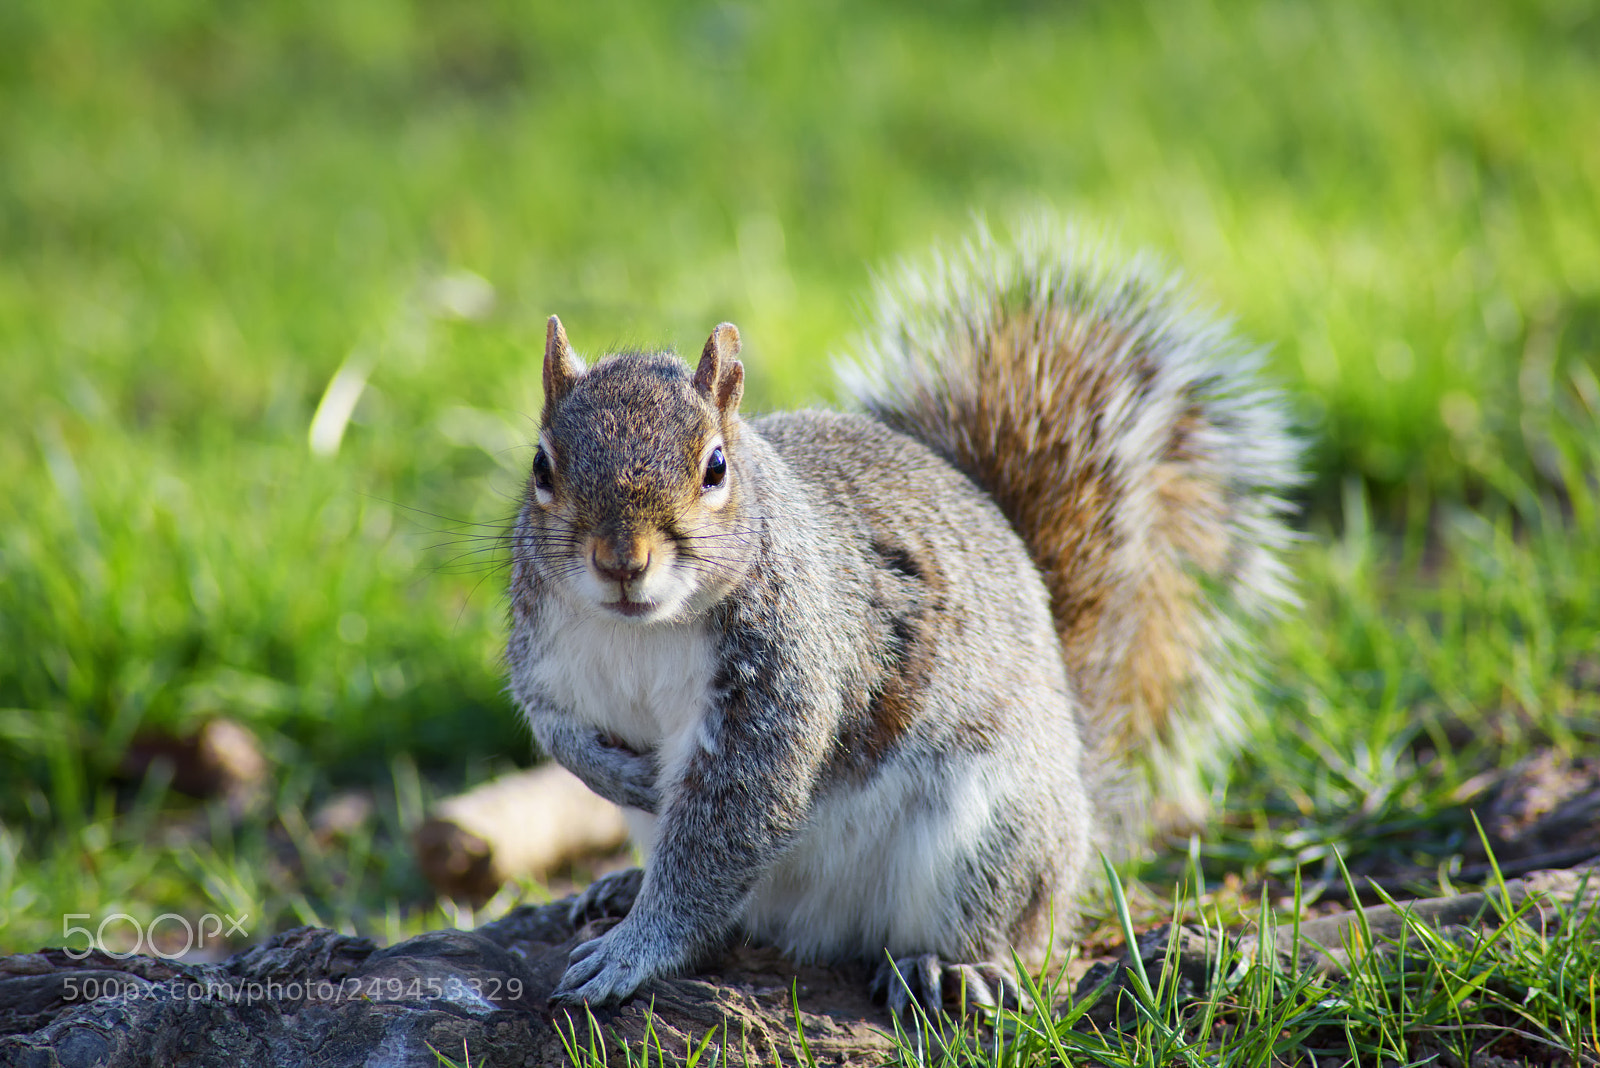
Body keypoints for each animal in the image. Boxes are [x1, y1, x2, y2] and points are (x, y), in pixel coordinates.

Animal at [504, 221, 1298, 1017]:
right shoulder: (544, 657)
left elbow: (729, 827)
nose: (621, 561)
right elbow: (556, 731)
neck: (640, 631)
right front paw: (620, 778)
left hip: (992, 832)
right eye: (542, 467)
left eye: (716, 468)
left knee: (1003, 927)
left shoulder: (789, 674)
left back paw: (948, 964)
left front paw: (632, 954)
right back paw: (621, 884)